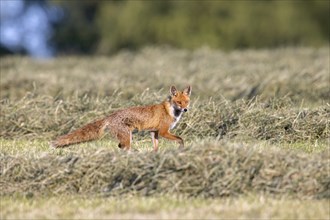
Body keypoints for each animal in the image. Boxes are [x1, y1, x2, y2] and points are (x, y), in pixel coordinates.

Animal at [51, 85, 191, 151]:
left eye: (186, 102)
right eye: (178, 102)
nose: (185, 109)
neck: (171, 111)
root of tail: (111, 116)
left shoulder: (154, 132)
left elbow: (156, 147)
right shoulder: (163, 131)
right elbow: (180, 139)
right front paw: (181, 148)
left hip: (126, 138)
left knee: (120, 147)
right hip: (127, 138)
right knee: (124, 148)